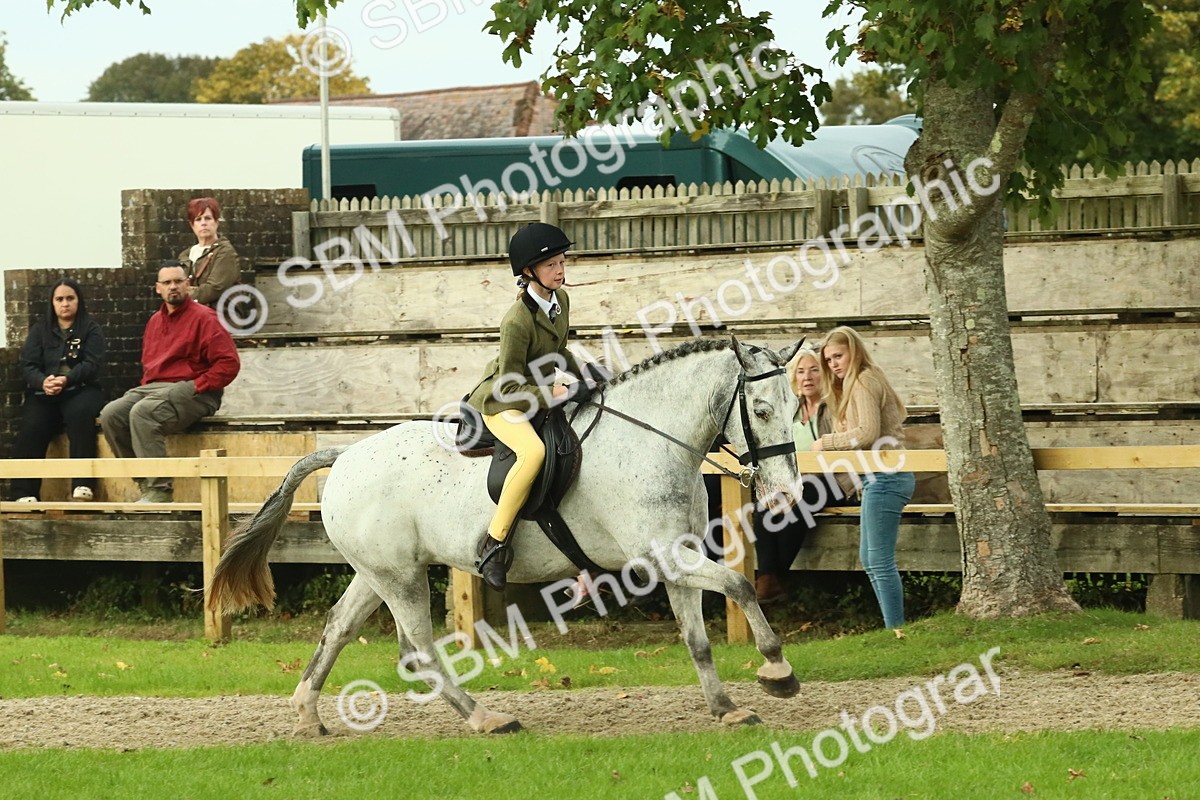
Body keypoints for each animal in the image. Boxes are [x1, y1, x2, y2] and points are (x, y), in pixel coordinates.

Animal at [208, 336, 805, 735]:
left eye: (797, 407)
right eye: (761, 409)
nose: (784, 490)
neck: (651, 440)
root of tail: (346, 452)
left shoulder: (675, 556)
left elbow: (698, 638)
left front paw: (727, 707)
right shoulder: (666, 557)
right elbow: (741, 585)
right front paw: (777, 671)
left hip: (379, 572)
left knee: (338, 627)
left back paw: (308, 713)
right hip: (400, 577)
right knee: (419, 649)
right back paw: (487, 718)